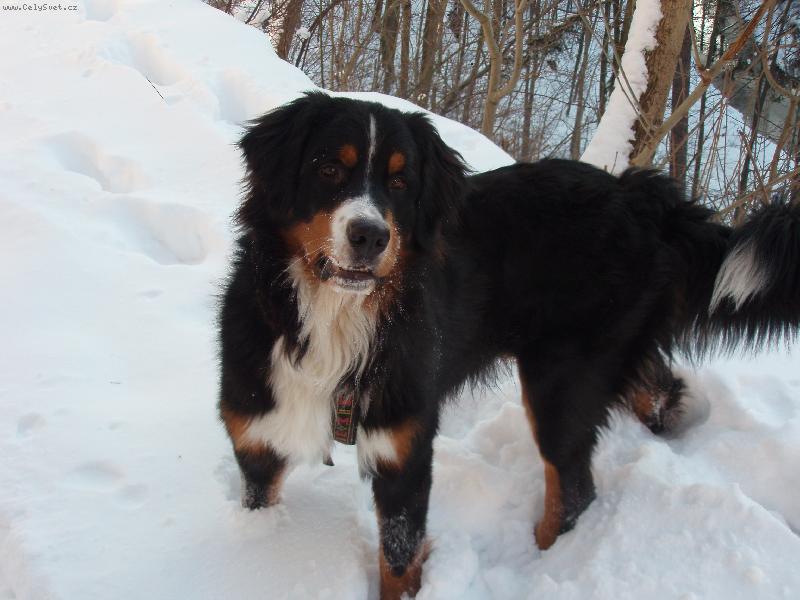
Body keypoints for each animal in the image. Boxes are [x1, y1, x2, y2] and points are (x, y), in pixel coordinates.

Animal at [218, 92, 800, 599]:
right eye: (328, 169)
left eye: (401, 182)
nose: (370, 236)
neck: (333, 319)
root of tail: (643, 198)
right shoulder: (256, 437)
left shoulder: (405, 452)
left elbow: (398, 563)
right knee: (654, 386)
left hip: (560, 379)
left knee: (573, 490)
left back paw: (543, 564)